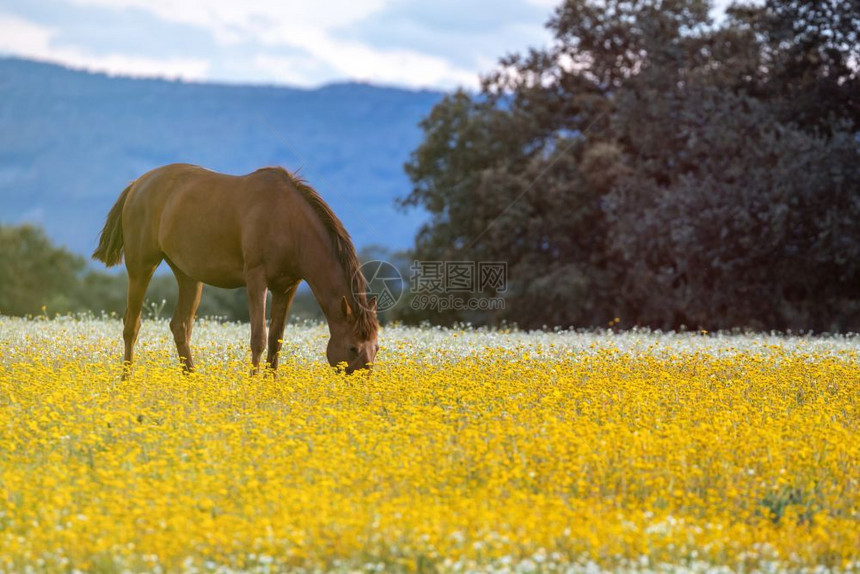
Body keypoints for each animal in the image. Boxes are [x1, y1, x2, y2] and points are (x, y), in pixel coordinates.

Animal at [90, 164, 380, 376]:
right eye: (353, 348)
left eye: (376, 348)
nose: (362, 382)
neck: (288, 221)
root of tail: (137, 185)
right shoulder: (256, 280)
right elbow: (259, 338)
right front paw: (253, 384)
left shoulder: (287, 287)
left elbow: (276, 340)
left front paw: (271, 384)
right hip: (141, 267)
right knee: (132, 325)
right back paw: (127, 379)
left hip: (189, 277)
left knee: (180, 326)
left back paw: (191, 380)